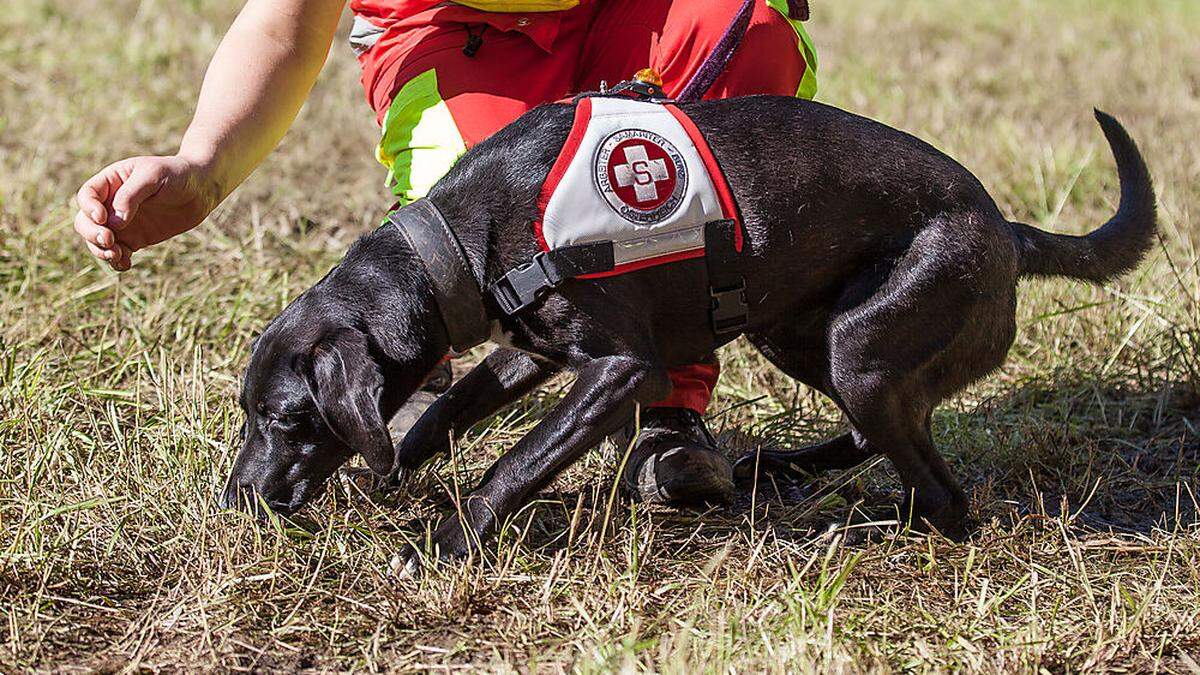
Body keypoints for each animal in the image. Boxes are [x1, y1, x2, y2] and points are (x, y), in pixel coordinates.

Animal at [223, 93, 1152, 557]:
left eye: (284, 417)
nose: (236, 498)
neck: (464, 238)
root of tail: (1009, 230)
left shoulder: (621, 369)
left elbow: (517, 461)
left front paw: (451, 539)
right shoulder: (530, 356)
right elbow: (444, 413)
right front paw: (391, 474)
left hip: (861, 345)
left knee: (944, 498)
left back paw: (855, 528)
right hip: (801, 331)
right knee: (879, 434)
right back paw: (781, 468)